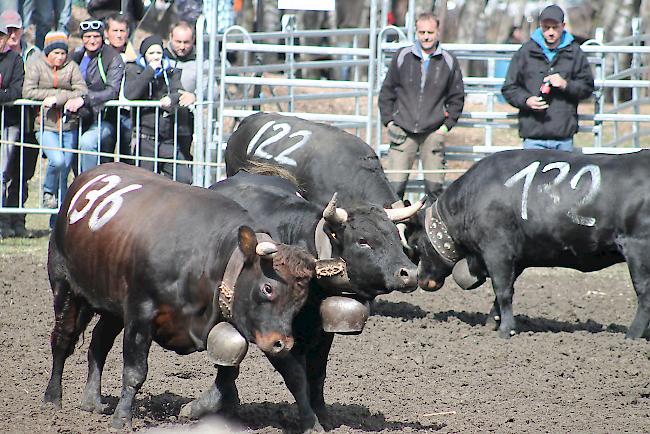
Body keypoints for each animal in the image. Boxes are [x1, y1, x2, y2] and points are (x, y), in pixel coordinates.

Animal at [41, 162, 316, 428]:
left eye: (301, 299)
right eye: (268, 288)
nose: (282, 343)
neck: (205, 256)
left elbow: (234, 373)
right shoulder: (140, 311)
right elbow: (135, 371)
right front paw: (121, 419)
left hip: (113, 305)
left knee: (99, 341)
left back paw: (91, 400)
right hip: (65, 286)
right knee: (62, 339)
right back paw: (52, 399)